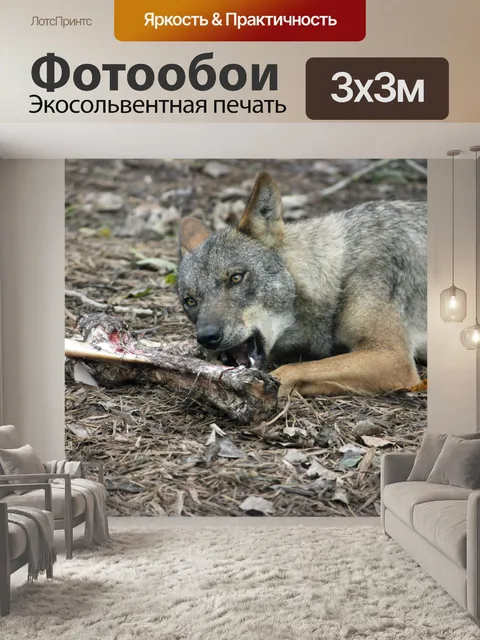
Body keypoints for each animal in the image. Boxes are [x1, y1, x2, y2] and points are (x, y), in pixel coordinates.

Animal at [177, 171, 427, 397]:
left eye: (236, 278)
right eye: (190, 301)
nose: (207, 337)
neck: (339, 274)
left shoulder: (392, 356)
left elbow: (290, 370)